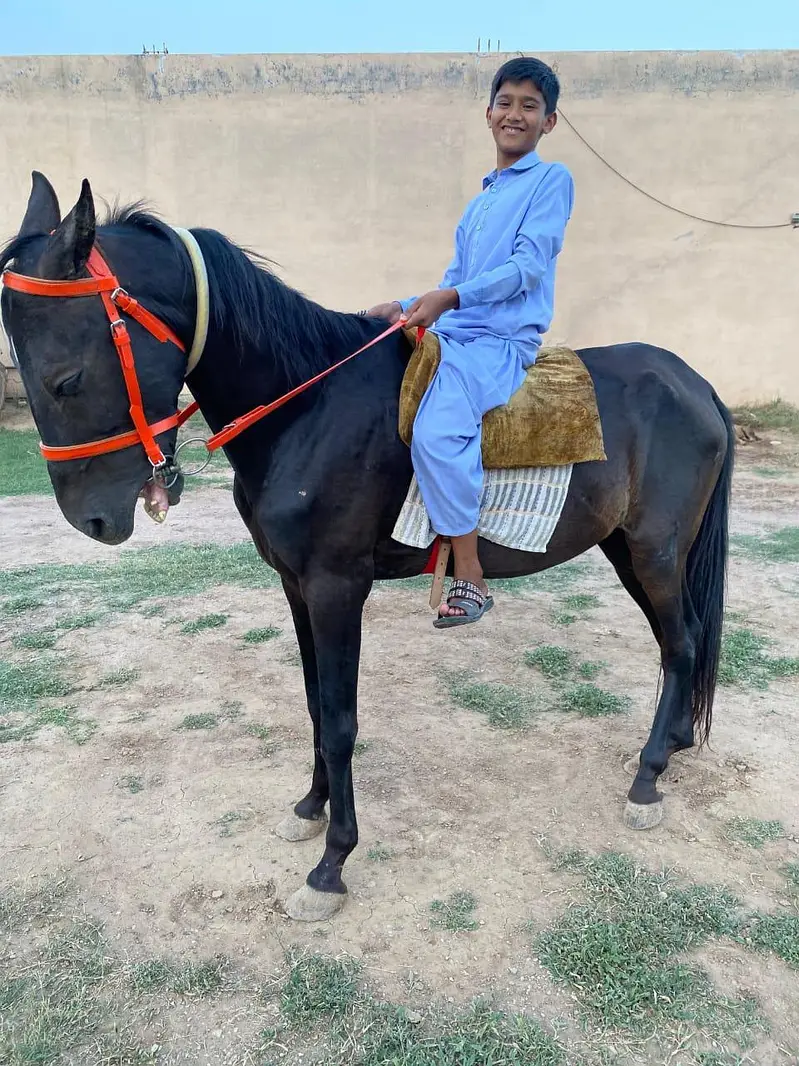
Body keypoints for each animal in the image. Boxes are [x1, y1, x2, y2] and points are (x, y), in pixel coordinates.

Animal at [1, 173, 734, 921]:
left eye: (65, 380)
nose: (92, 520)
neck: (307, 406)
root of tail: (693, 382)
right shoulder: (295, 585)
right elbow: (313, 703)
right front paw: (310, 807)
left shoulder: (336, 588)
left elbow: (340, 719)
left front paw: (333, 863)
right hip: (628, 551)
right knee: (683, 640)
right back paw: (674, 743)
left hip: (654, 551)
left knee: (680, 644)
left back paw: (647, 779)